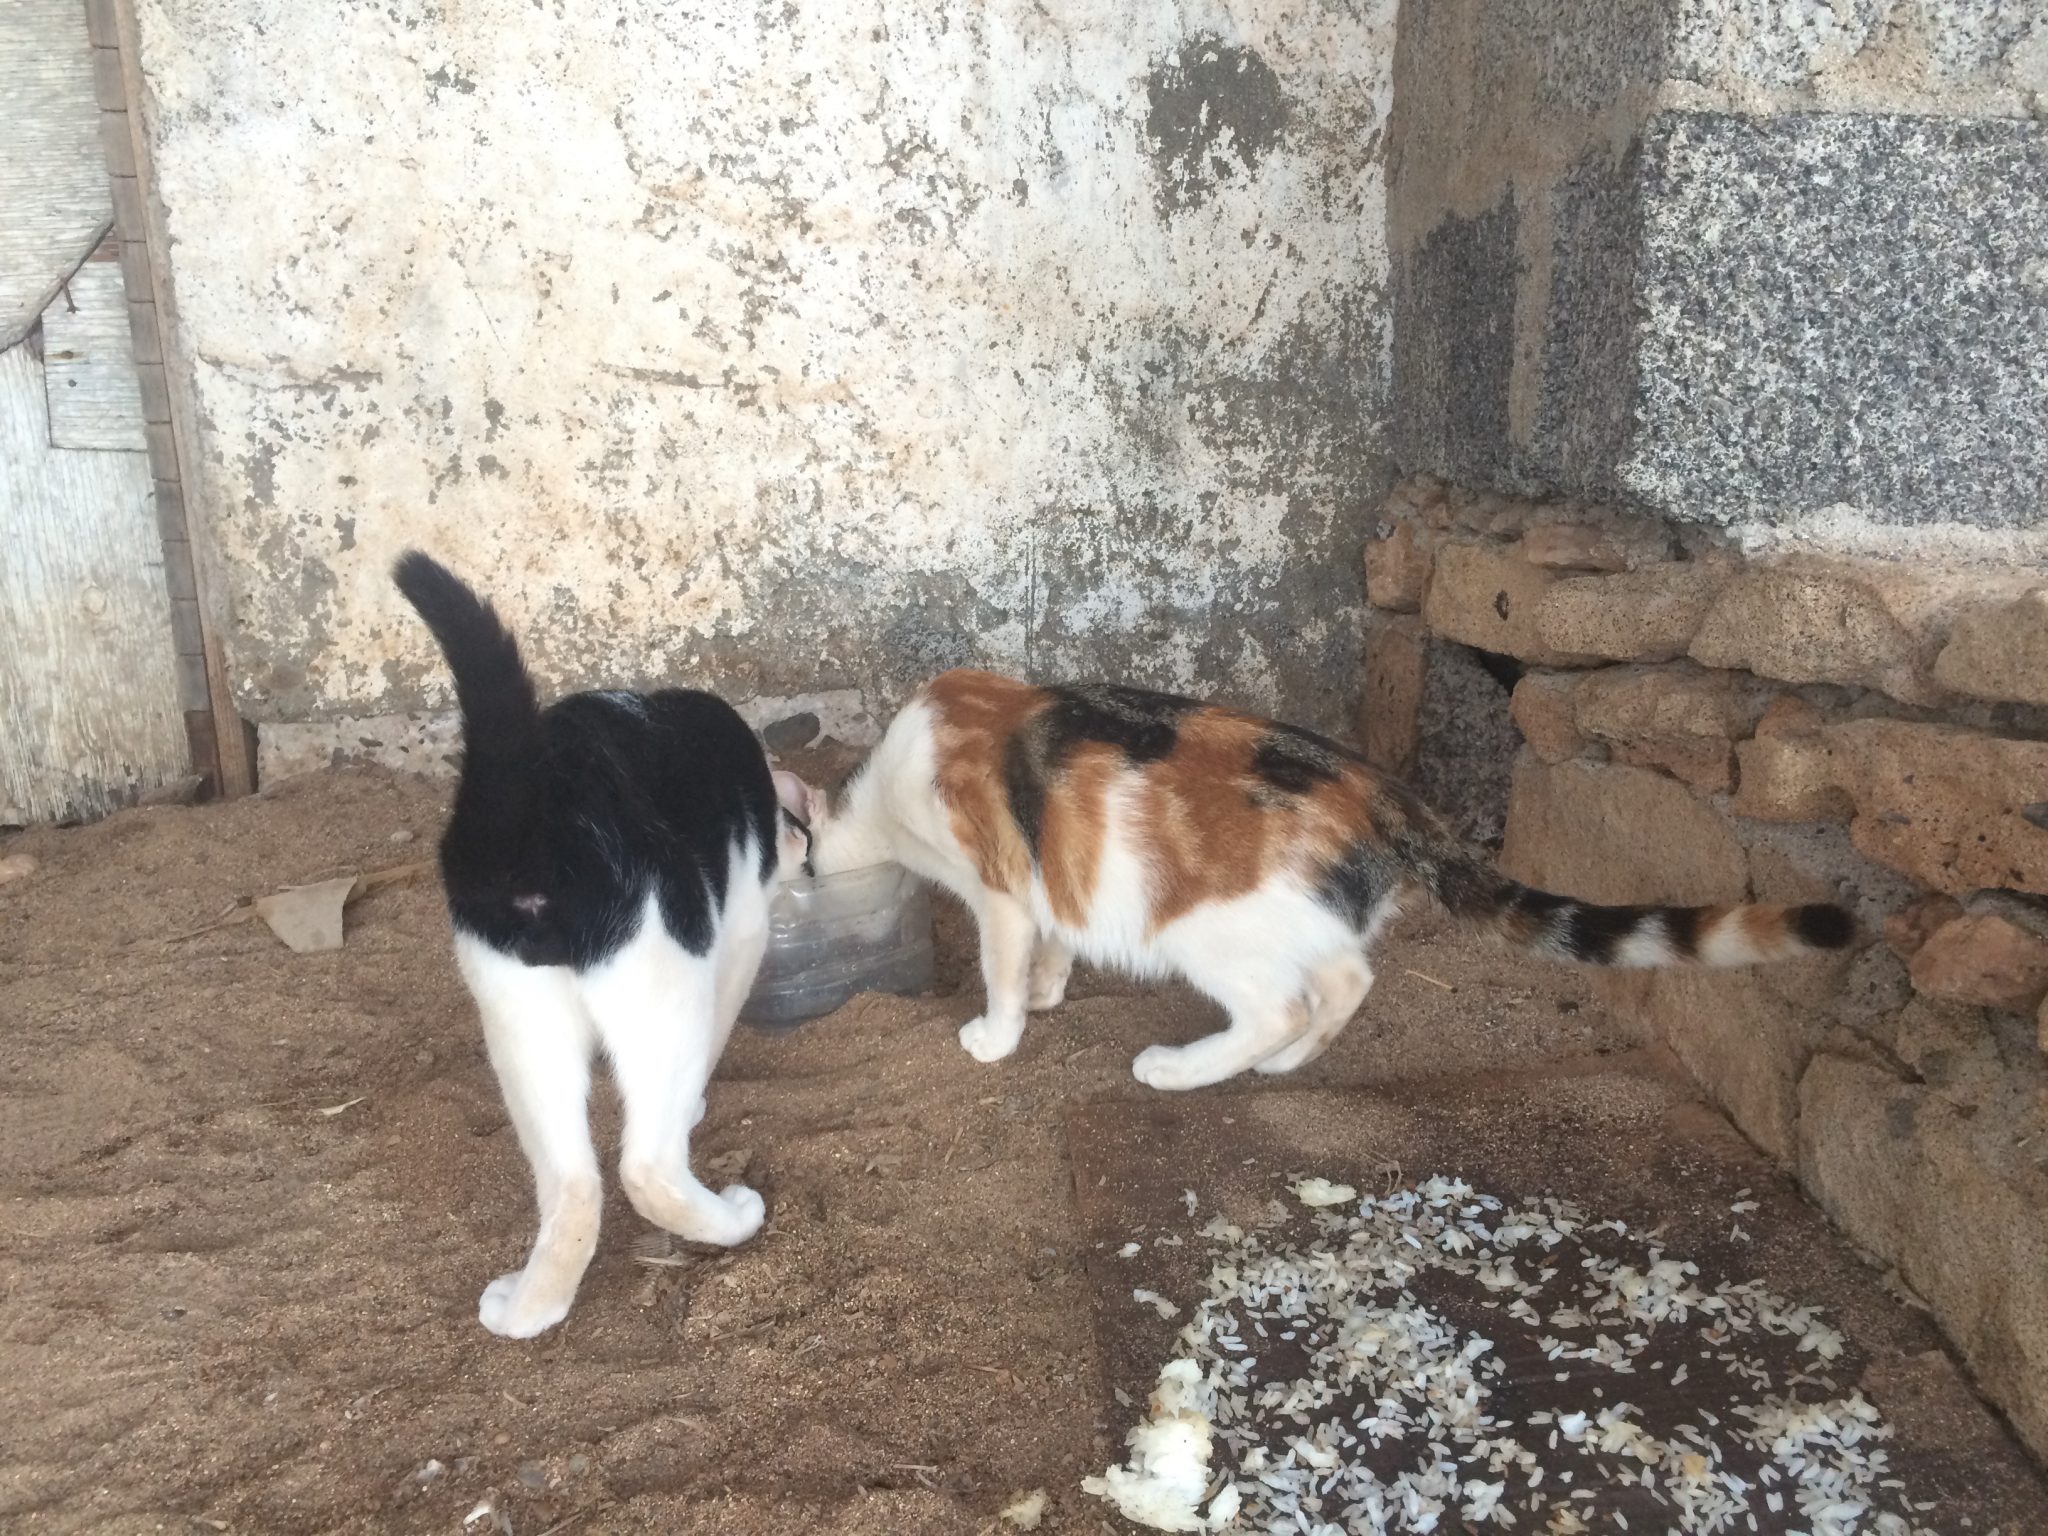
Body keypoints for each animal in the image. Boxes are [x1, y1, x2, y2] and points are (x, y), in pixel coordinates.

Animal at [387, 552, 811, 1335]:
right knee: (646, 1168)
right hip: (663, 981)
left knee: (574, 1186)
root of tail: (533, 818)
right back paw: (729, 1218)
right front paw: (697, 1105)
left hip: (519, 1018)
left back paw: (526, 1310)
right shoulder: (740, 932)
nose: (804, 849)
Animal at [770, 671, 1859, 1097]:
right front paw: (1048, 992)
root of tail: (1384, 793)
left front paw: (999, 1032)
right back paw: (1290, 1065)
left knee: (1279, 1004)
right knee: (1345, 983)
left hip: (1204, 931)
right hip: (1298, 921)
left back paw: (1183, 1067)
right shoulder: (1045, 884)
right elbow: (1056, 938)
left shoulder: (997, 889)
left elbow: (1003, 961)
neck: (878, 794)